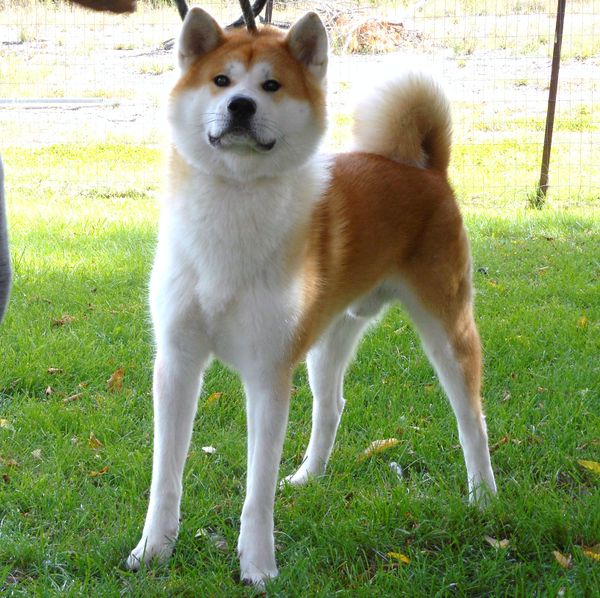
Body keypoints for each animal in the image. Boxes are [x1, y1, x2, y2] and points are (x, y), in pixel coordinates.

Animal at [125, 7, 496, 588]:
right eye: (221, 80)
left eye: (271, 86)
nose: (241, 105)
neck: (234, 208)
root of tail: (425, 169)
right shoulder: (177, 364)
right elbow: (166, 479)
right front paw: (154, 551)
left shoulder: (268, 374)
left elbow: (256, 491)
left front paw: (257, 566)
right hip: (328, 340)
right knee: (331, 406)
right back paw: (308, 476)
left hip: (446, 329)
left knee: (470, 418)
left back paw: (484, 497)